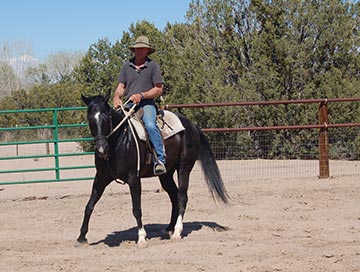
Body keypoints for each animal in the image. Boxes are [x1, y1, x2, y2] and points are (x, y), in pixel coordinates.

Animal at [78, 91, 229, 244]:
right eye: (90, 117)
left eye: (105, 117)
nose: (101, 148)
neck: (120, 141)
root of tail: (192, 126)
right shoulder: (101, 178)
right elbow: (89, 205)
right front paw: (81, 237)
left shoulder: (133, 178)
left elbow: (136, 208)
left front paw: (141, 237)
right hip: (166, 175)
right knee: (174, 197)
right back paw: (168, 229)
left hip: (184, 168)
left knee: (182, 197)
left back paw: (177, 231)